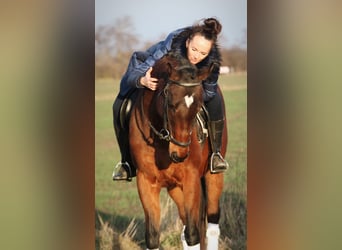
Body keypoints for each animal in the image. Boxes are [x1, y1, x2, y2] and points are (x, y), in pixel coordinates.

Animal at [128, 52, 227, 250]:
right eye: (171, 105)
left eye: (198, 107)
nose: (180, 154)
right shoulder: (145, 182)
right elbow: (153, 237)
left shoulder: (191, 179)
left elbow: (193, 234)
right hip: (174, 188)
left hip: (213, 177)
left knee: (211, 225)